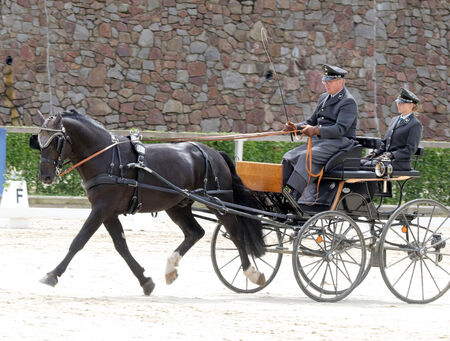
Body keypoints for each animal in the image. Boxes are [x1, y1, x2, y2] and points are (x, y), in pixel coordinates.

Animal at [29, 110, 268, 294]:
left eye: (56, 140)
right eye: (39, 141)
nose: (45, 177)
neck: (107, 158)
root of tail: (214, 152)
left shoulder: (101, 209)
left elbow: (79, 241)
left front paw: (52, 275)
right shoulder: (109, 213)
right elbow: (121, 246)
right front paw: (146, 281)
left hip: (220, 203)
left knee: (236, 234)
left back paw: (251, 273)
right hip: (178, 206)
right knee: (195, 233)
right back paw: (170, 269)